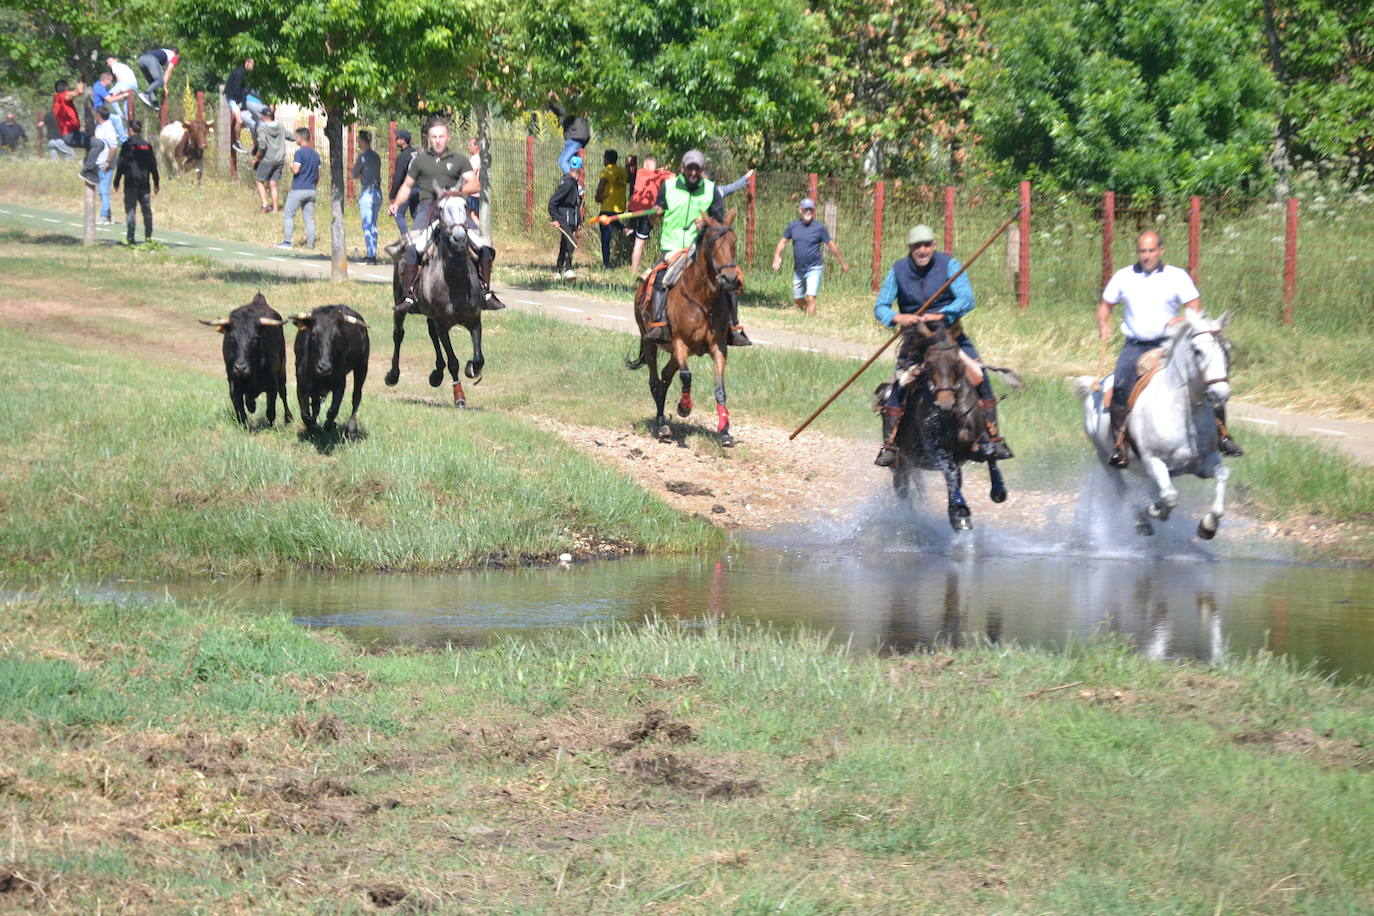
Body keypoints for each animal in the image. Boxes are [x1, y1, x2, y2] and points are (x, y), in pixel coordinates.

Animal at [387, 192, 489, 403]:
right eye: (441, 209)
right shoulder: (443, 324)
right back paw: (393, 375)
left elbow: (478, 358)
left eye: (466, 206)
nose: (460, 238)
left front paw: (471, 369)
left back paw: (437, 373)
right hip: (400, 303)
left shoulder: (475, 320)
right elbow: (453, 361)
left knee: (431, 332)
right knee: (398, 335)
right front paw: (459, 396)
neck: (456, 281)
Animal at [629, 212, 747, 447]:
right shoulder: (679, 342)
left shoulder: (718, 347)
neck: (702, 301)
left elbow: (720, 388)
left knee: (665, 377)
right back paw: (662, 425)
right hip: (649, 342)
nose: (730, 278)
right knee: (655, 381)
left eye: (734, 242)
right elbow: (686, 376)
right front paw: (684, 408)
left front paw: (725, 431)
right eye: (712, 244)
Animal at [1071, 311, 1236, 538]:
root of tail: (1096, 387)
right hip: (1105, 457)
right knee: (1122, 490)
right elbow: (1170, 497)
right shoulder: (1153, 461)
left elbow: (1223, 474)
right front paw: (1154, 509)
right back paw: (1141, 522)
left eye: (1225, 349)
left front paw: (1208, 525)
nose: (1220, 394)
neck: (1184, 415)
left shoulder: (1203, 462)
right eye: (1197, 351)